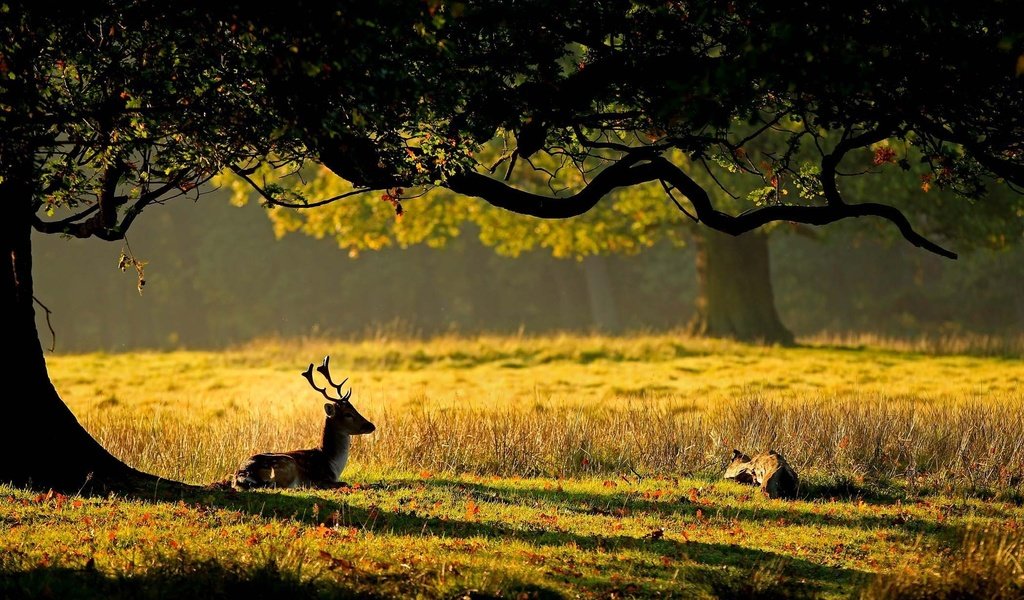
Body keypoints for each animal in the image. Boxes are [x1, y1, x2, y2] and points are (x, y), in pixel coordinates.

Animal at [233, 352, 376, 487]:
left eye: (354, 408)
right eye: (348, 414)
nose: (371, 425)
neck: (332, 464)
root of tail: (241, 474)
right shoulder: (321, 479)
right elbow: (344, 483)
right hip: (287, 464)